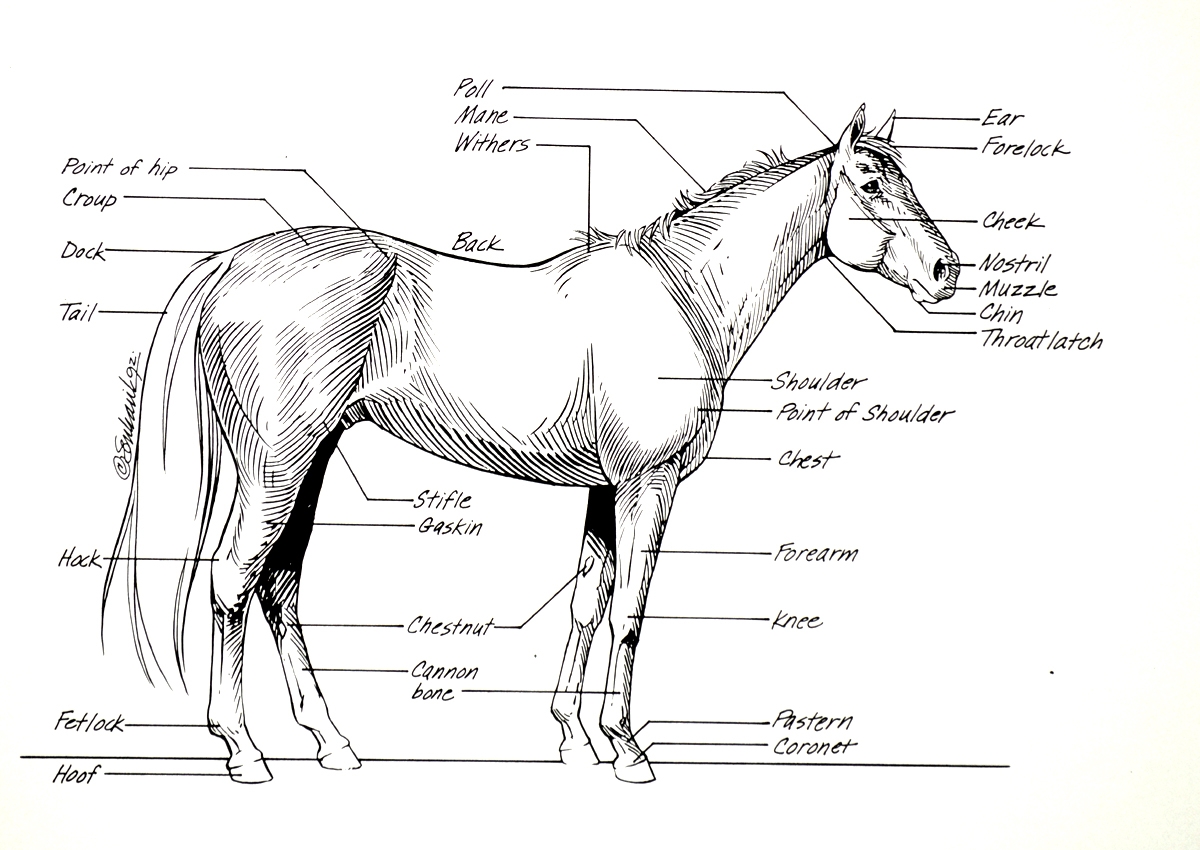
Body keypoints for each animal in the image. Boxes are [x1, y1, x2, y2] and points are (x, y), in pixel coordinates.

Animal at [104, 105, 959, 784]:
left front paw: (576, 740)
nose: (947, 270)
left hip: (307, 462)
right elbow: (629, 613)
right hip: (278, 463)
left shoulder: (606, 489)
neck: (681, 298)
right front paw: (626, 750)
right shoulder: (649, 484)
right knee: (232, 580)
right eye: (871, 184)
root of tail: (231, 263)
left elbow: (587, 602)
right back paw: (243, 750)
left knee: (279, 585)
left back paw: (333, 743)